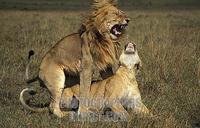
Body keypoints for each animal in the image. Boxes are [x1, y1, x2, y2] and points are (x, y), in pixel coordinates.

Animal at [20, 42, 152, 120]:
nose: (130, 42)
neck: (129, 74)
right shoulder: (112, 100)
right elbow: (125, 114)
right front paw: (131, 120)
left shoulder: (137, 102)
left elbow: (148, 112)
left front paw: (153, 118)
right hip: (66, 96)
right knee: (61, 109)